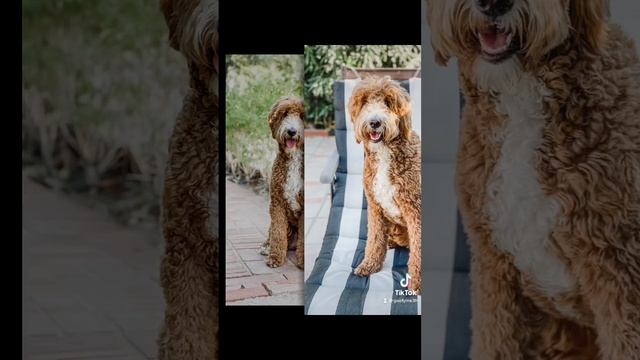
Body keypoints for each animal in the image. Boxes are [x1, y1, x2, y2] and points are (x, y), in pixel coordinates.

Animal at [348, 77, 422, 294]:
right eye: (364, 102)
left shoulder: (415, 209)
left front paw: (418, 282)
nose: (375, 122)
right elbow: (374, 239)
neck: (384, 152)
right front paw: (369, 264)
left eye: (388, 103)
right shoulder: (375, 207)